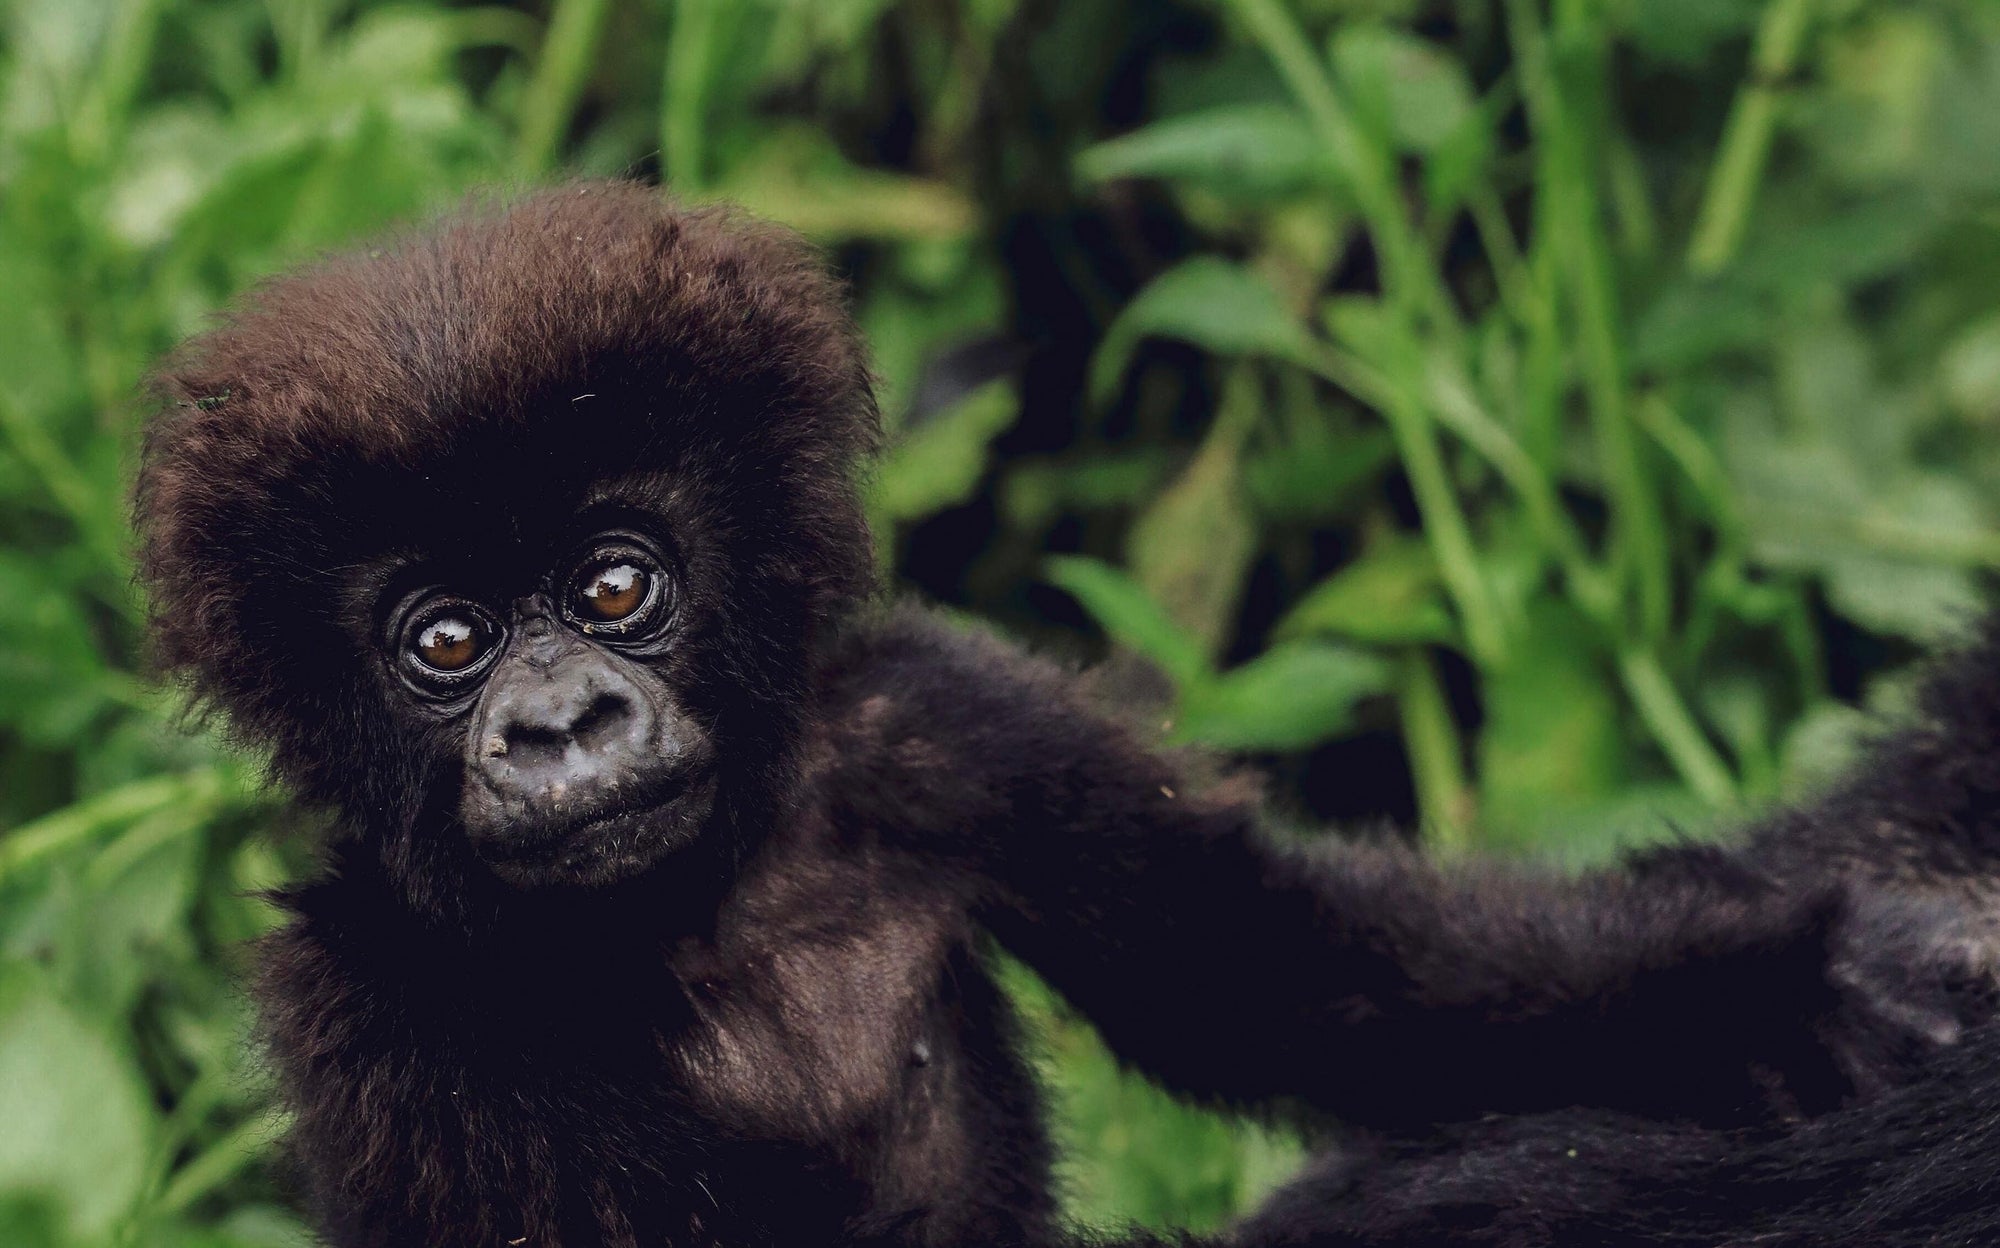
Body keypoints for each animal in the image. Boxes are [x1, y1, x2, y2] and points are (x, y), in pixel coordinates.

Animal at [133, 181, 2000, 1247]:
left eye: (608, 590)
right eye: (445, 640)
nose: (560, 727)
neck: (704, 903)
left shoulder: (936, 730)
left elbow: (1307, 977)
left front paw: (1814, 979)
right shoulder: (362, 997)